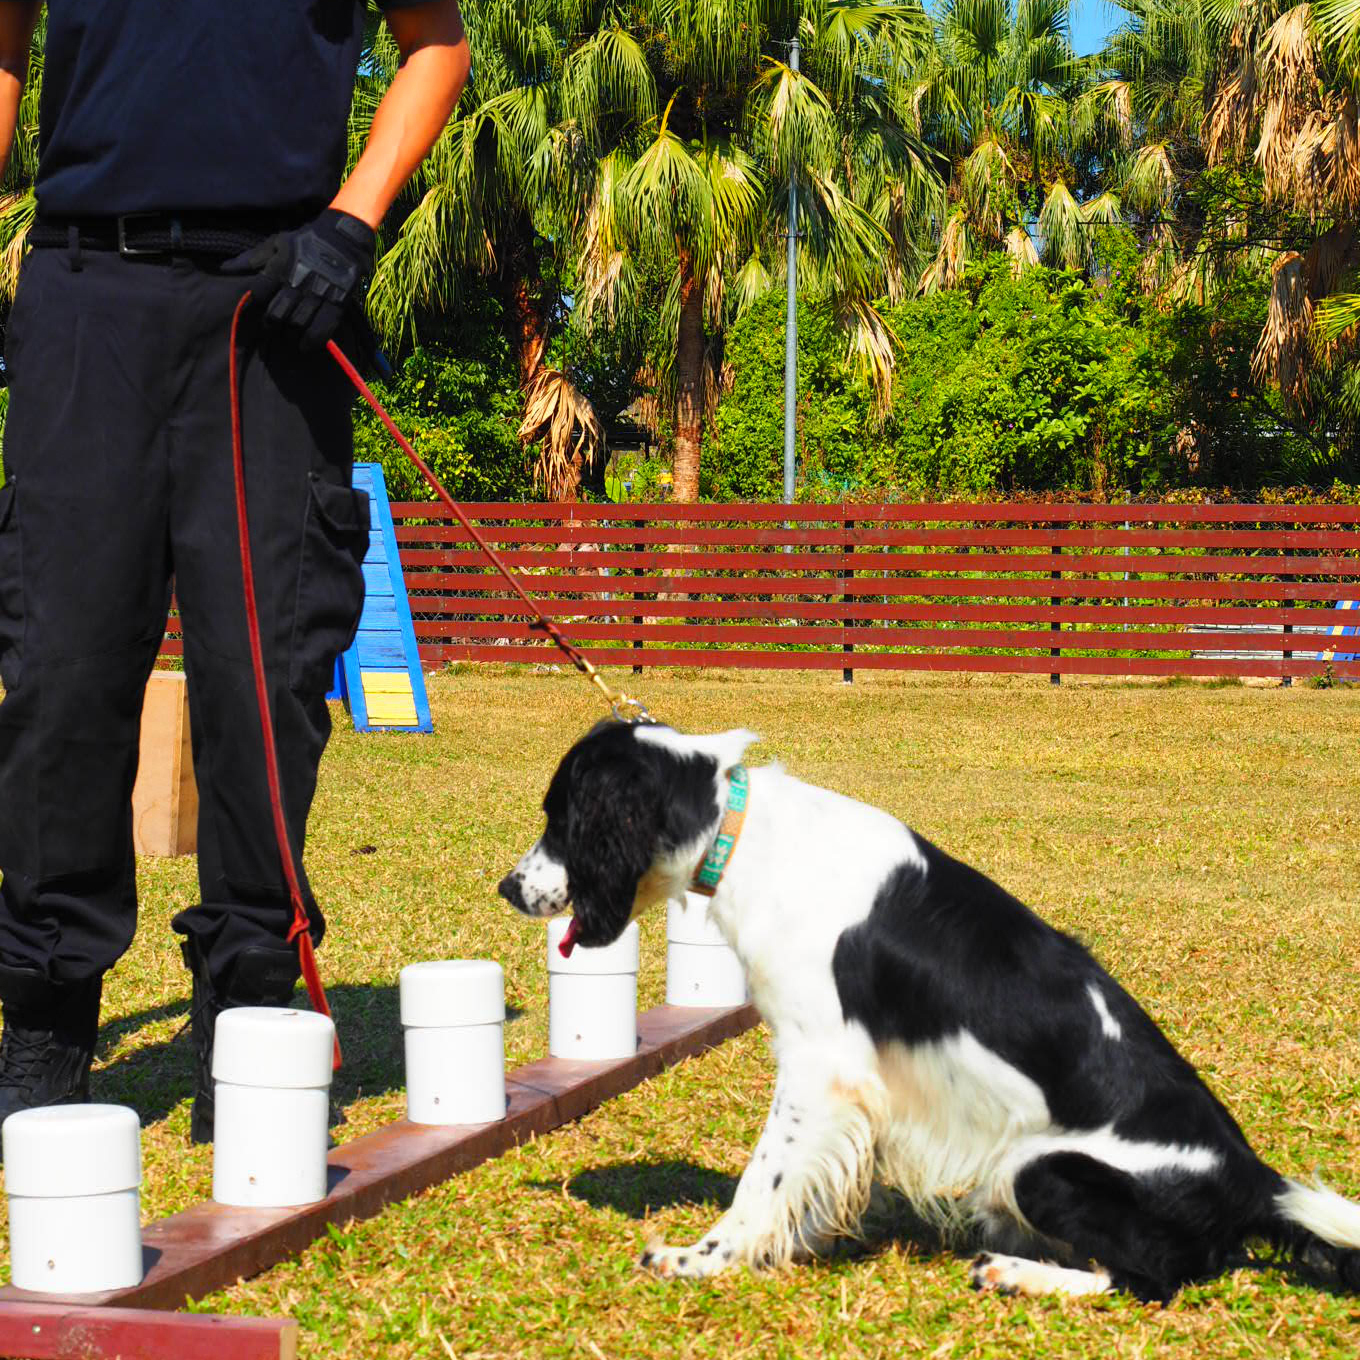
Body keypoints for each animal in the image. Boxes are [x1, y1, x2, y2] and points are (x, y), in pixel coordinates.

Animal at [500, 723, 1360, 1294]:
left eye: (560, 816)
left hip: (1040, 1166)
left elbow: (763, 1178)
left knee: (1151, 1277)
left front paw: (705, 1256)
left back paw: (1016, 1272)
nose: (508, 888)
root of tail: (1254, 1178)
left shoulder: (819, 1065)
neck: (743, 833)